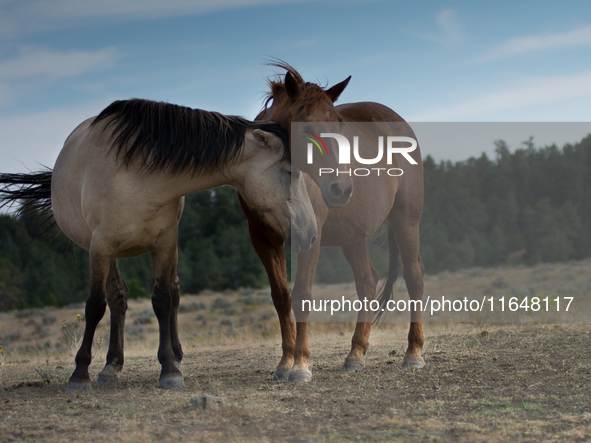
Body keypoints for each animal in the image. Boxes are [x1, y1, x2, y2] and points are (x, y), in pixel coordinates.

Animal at [0, 98, 320, 392]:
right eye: (290, 172)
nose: (312, 233)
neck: (137, 176)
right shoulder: (100, 248)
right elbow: (95, 306)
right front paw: (80, 374)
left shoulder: (164, 245)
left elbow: (163, 301)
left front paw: (169, 369)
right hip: (108, 254)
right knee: (117, 299)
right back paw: (110, 367)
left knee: (169, 293)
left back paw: (167, 356)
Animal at [240, 61, 426, 382]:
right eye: (305, 128)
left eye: (339, 124)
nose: (342, 188)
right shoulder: (262, 239)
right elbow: (281, 297)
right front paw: (285, 363)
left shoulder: (308, 238)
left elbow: (302, 294)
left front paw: (300, 365)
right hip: (353, 236)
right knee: (367, 282)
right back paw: (355, 355)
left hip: (406, 221)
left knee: (414, 275)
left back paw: (413, 353)